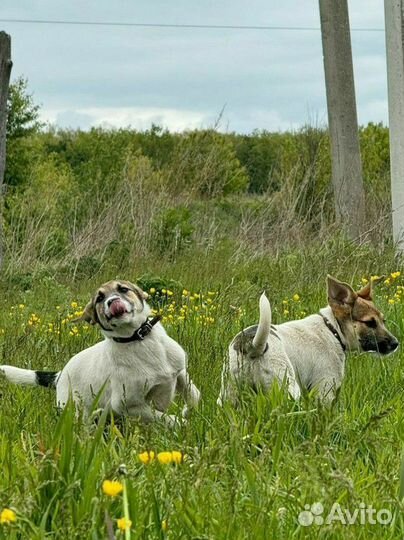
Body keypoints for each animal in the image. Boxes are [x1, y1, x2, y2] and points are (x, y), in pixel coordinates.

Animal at [0, 280, 200, 424]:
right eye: (99, 299)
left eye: (123, 289)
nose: (112, 302)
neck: (138, 339)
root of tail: (60, 375)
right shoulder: (126, 405)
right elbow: (161, 416)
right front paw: (180, 422)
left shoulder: (180, 372)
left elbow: (195, 396)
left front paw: (187, 412)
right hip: (75, 411)